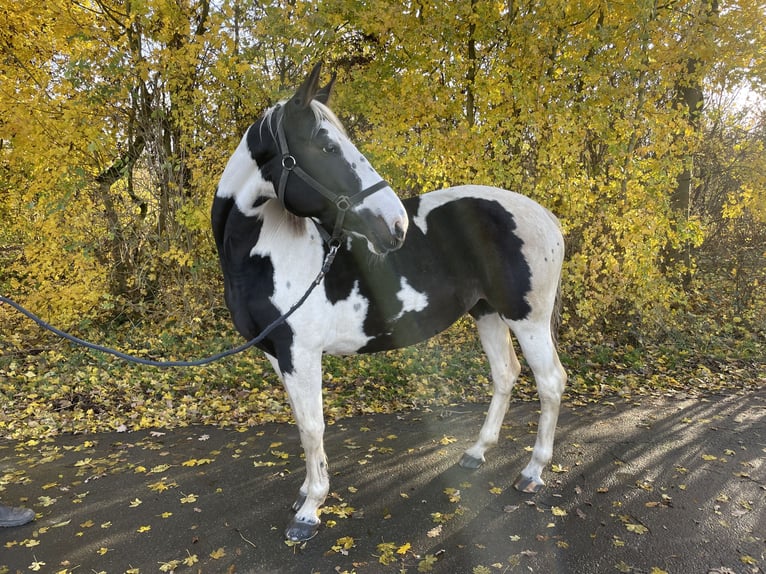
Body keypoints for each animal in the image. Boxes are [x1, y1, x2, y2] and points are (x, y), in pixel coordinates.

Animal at [213, 64, 568, 544]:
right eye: (327, 146)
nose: (396, 224)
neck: (264, 252)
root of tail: (546, 217)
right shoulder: (278, 354)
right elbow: (302, 423)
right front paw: (306, 491)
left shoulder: (301, 353)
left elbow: (313, 426)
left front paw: (310, 510)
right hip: (487, 313)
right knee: (506, 375)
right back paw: (476, 453)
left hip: (527, 319)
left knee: (550, 383)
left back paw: (533, 472)